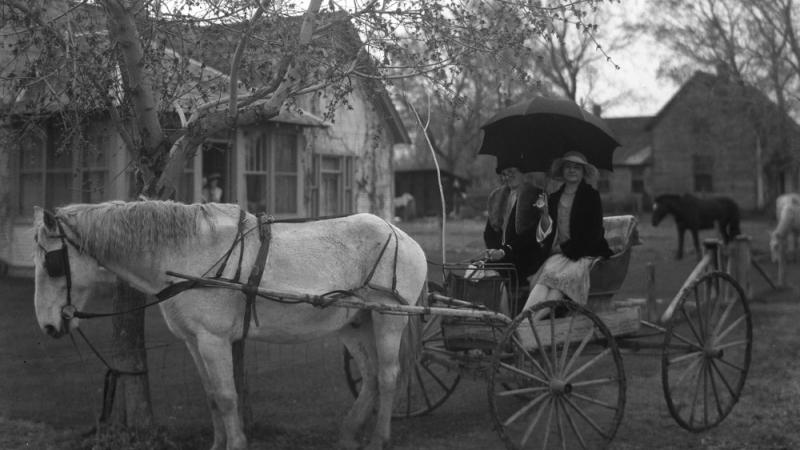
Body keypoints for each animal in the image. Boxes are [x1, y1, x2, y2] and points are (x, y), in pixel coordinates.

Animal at [33, 201, 428, 450]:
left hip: (388, 317)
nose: (48, 325)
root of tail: (400, 234)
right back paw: (349, 435)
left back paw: (378, 439)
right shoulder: (193, 340)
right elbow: (211, 395)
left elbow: (225, 397)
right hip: (354, 323)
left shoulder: (213, 339)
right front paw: (217, 443)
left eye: (52, 264)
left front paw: (236, 443)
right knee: (371, 376)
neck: (187, 255)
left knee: (388, 376)